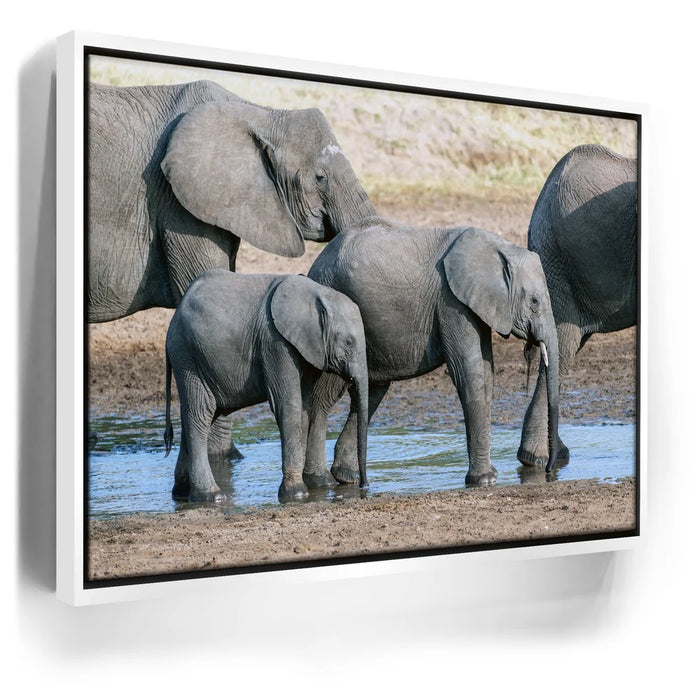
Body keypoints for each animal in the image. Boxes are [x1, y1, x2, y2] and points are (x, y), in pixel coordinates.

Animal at [163, 269, 369, 503]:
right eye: (349, 343)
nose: (363, 485)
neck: (317, 292)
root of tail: (174, 319)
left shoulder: (304, 349)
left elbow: (304, 407)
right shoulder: (275, 343)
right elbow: (288, 405)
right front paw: (296, 494)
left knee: (201, 414)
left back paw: (181, 494)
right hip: (188, 357)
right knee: (200, 414)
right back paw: (211, 496)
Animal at [304, 217, 560, 488]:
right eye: (534, 302)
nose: (549, 470)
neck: (500, 247)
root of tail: (316, 263)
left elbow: (486, 374)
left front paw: (490, 476)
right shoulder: (451, 302)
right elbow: (469, 373)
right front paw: (484, 480)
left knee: (371, 392)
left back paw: (349, 477)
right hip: (332, 321)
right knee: (324, 396)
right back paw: (319, 481)